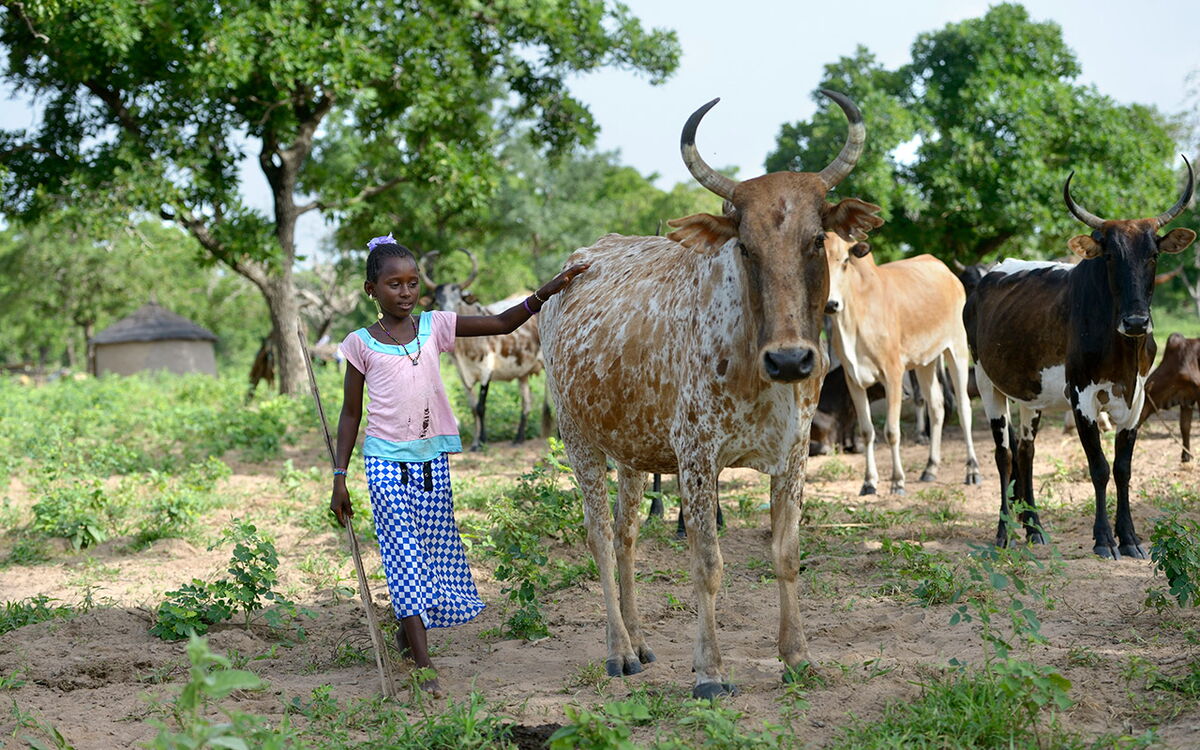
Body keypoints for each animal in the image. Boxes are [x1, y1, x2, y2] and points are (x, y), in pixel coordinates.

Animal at [417, 248, 550, 450]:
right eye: (438, 302)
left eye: (458, 301)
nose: (447, 315)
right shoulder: (463, 375)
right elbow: (473, 408)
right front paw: (475, 441)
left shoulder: (486, 371)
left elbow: (481, 406)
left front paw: (481, 441)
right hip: (522, 373)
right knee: (527, 402)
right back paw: (518, 438)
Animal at [539, 90, 883, 697]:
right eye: (744, 247)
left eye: (817, 239)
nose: (791, 359)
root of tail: (575, 267)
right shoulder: (697, 458)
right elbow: (707, 564)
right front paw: (710, 670)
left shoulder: (795, 454)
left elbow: (786, 554)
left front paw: (797, 655)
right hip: (580, 440)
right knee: (600, 537)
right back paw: (617, 650)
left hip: (631, 453)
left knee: (626, 535)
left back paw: (641, 642)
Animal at [823, 235, 980, 495]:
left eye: (845, 261)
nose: (831, 304)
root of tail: (948, 273)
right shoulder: (853, 379)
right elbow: (867, 431)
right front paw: (869, 482)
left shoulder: (893, 374)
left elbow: (892, 431)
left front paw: (897, 481)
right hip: (926, 363)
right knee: (937, 407)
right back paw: (930, 468)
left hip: (956, 349)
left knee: (965, 408)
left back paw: (973, 470)